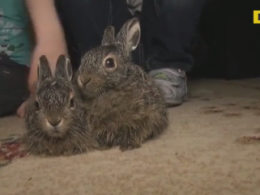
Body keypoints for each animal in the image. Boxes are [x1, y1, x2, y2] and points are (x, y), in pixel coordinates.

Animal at [75, 17, 169, 152]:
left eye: (109, 63)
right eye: (84, 59)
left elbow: (138, 131)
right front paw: (104, 146)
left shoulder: (148, 116)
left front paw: (129, 145)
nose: (83, 79)